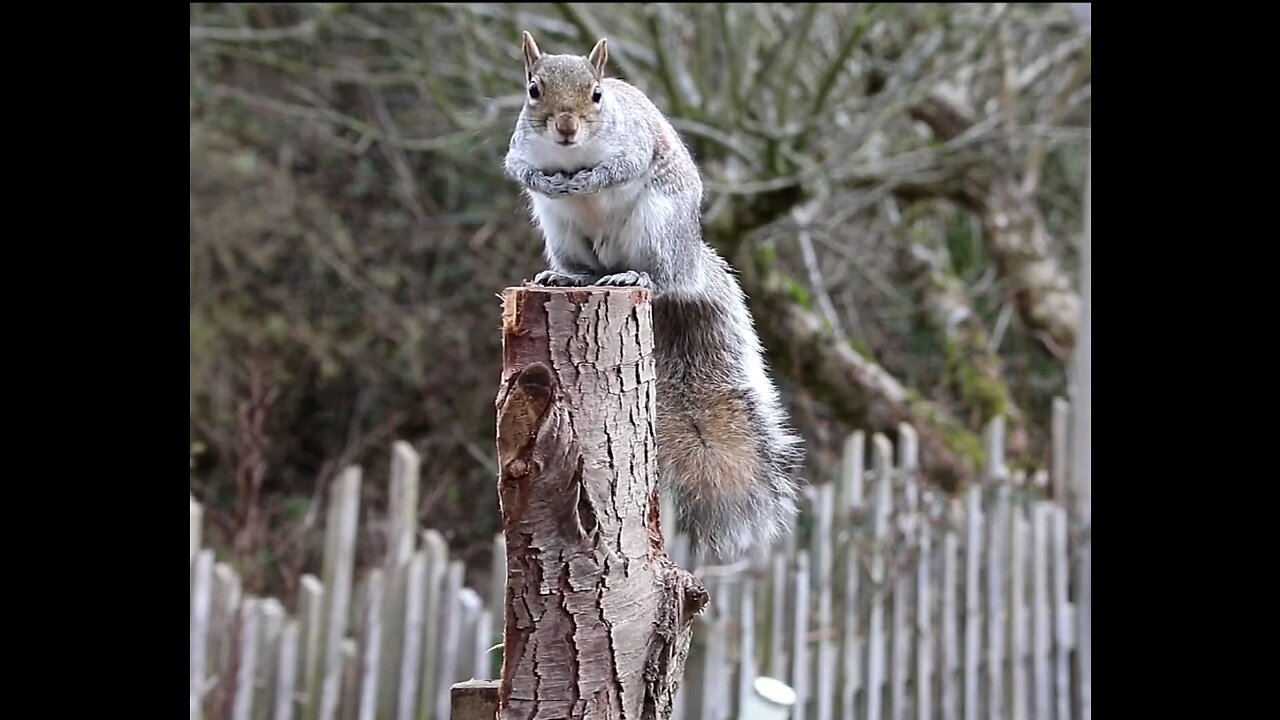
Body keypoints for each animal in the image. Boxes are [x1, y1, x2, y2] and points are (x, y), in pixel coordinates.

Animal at [499, 32, 798, 561]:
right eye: (533, 90)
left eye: (597, 94)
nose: (566, 128)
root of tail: (689, 263)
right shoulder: (520, 146)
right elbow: (517, 166)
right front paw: (544, 179)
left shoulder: (634, 145)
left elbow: (621, 166)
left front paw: (589, 178)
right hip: (561, 231)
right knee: (584, 266)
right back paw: (566, 276)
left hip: (657, 224)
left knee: (656, 275)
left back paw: (633, 275)